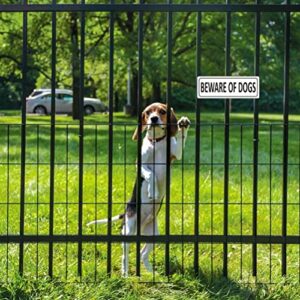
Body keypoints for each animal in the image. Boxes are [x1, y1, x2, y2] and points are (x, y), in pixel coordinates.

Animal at [86, 102, 190, 276]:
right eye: (148, 112)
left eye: (162, 111)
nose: (153, 119)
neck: (156, 142)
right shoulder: (139, 164)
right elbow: (150, 174)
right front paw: (152, 191)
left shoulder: (176, 154)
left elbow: (181, 141)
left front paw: (183, 123)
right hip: (129, 230)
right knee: (125, 256)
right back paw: (125, 274)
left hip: (154, 235)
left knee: (142, 254)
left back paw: (151, 273)